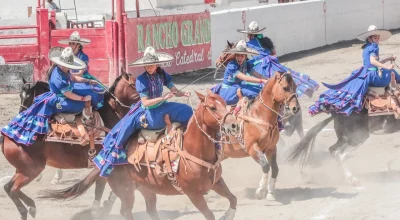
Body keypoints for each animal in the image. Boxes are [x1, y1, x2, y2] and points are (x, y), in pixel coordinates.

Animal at [1, 71, 141, 220]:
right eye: (135, 85)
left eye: (28, 96)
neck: (109, 116)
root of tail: (6, 137)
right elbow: (101, 186)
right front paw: (101, 208)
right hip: (31, 170)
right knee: (12, 189)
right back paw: (27, 209)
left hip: (22, 170)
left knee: (8, 187)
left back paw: (30, 206)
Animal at [39, 89, 241, 220]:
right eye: (212, 108)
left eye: (225, 103)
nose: (233, 125)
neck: (192, 151)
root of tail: (103, 159)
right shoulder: (194, 194)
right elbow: (210, 215)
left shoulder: (217, 182)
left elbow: (233, 199)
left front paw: (228, 214)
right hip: (126, 191)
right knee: (126, 211)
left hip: (146, 188)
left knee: (150, 210)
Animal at [222, 71, 300, 200]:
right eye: (285, 87)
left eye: (295, 87)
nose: (296, 108)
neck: (259, 115)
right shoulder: (252, 148)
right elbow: (265, 166)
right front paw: (261, 191)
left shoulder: (271, 148)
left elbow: (275, 168)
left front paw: (271, 192)